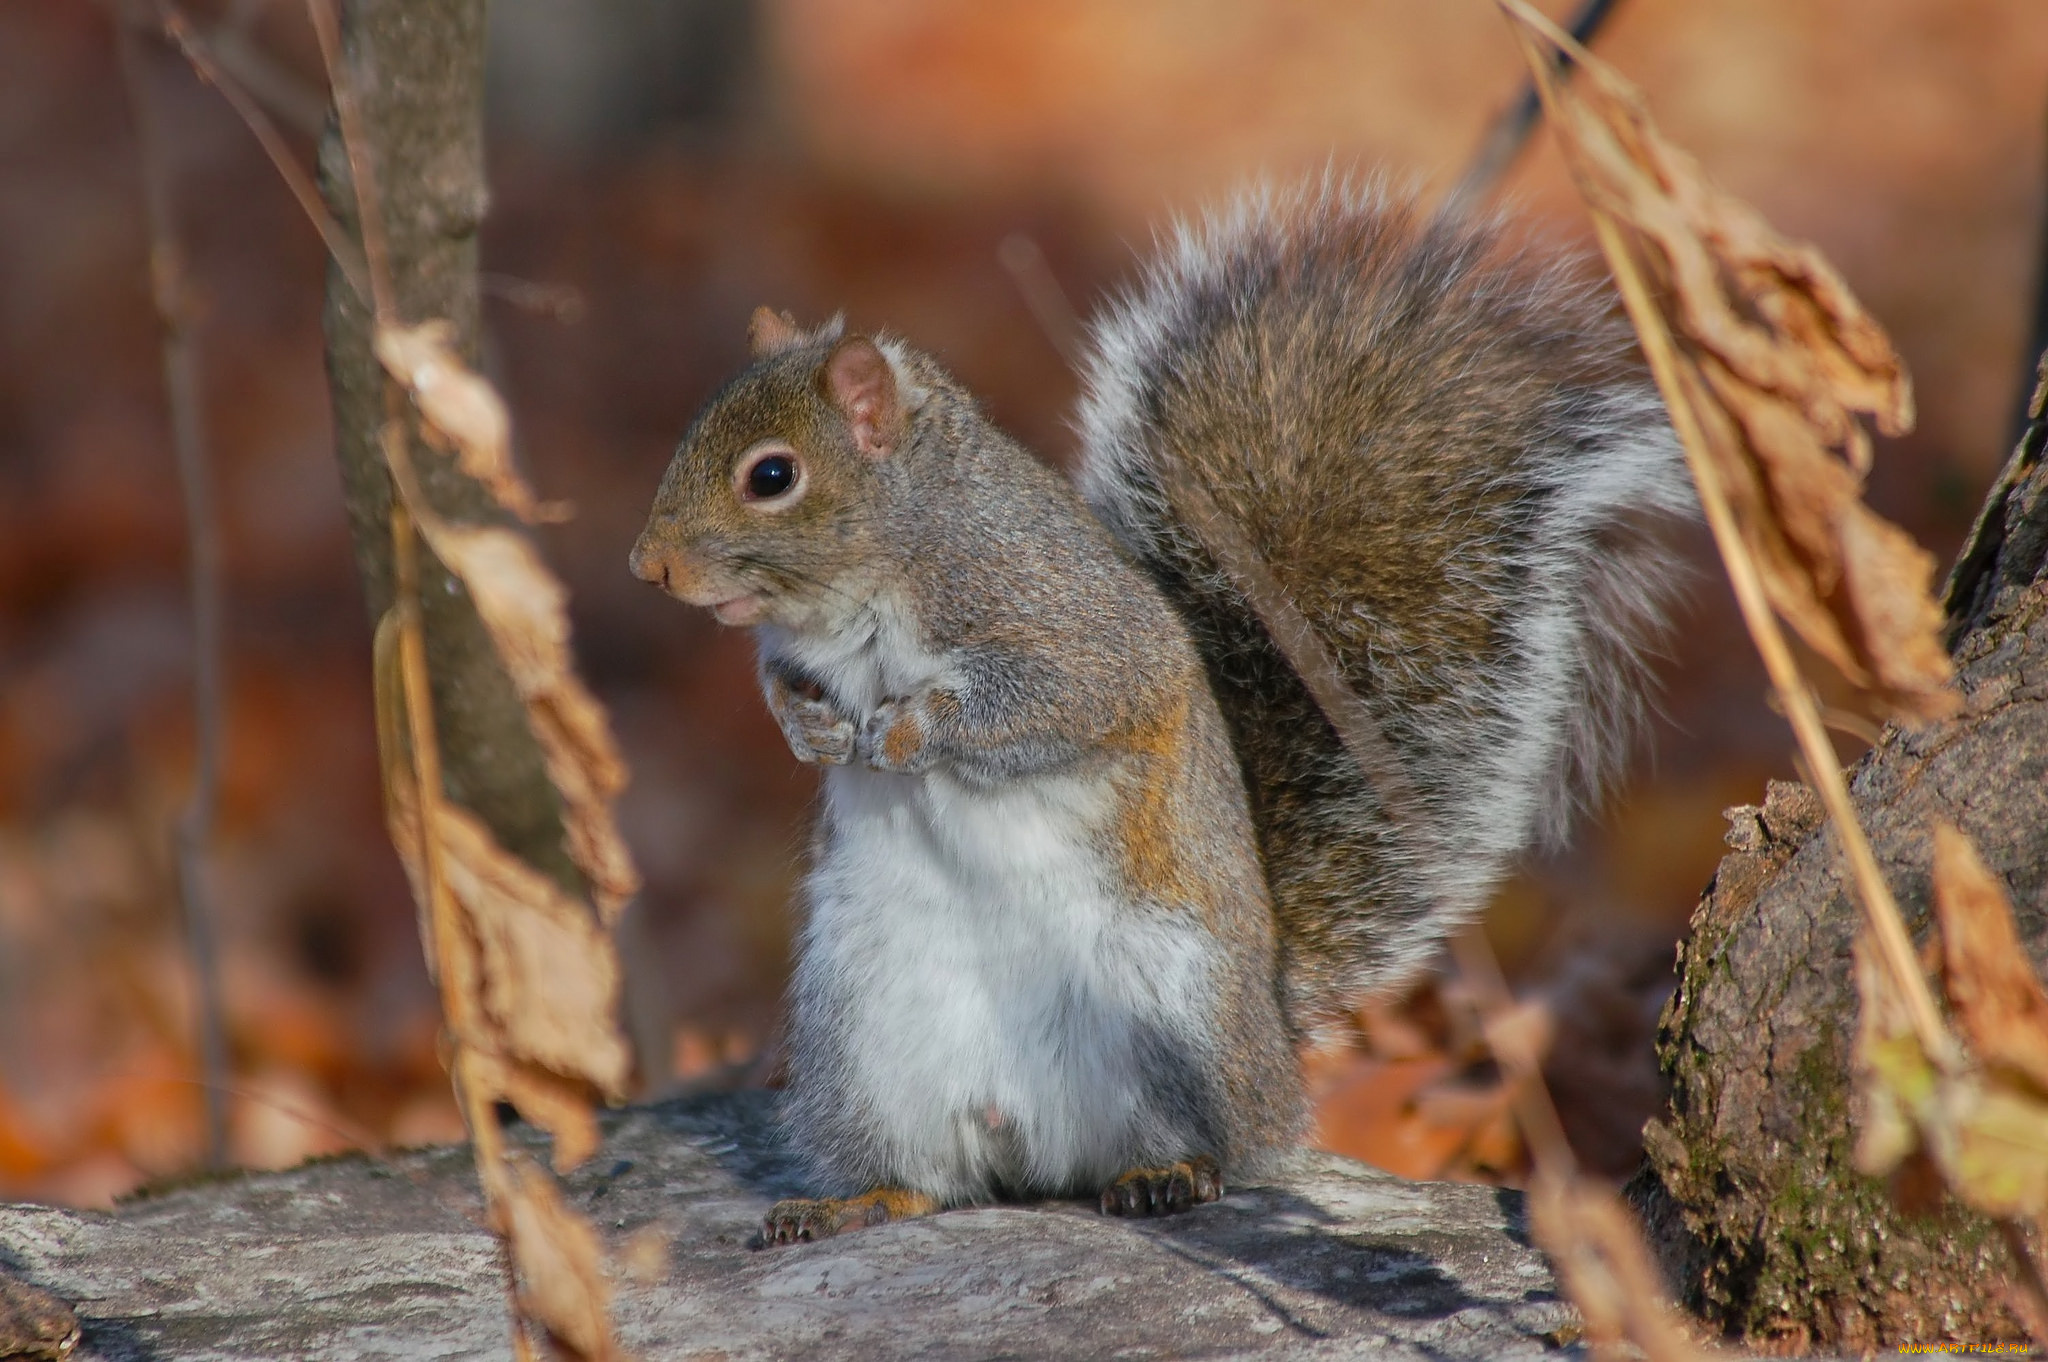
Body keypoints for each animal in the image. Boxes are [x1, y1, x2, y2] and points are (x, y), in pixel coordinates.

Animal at [630, 178, 1687, 1245]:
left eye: (772, 475)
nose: (648, 568)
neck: (881, 567)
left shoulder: (1069, 629)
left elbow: (1054, 702)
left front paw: (907, 728)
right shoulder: (798, 656)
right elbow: (783, 688)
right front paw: (807, 731)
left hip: (1175, 1008)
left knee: (1209, 1141)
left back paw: (1168, 1173)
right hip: (861, 1037)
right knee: (925, 1173)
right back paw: (856, 1199)